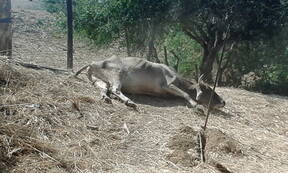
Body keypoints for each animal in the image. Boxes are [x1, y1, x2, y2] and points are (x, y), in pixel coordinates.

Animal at [73, 55, 225, 109]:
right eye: (209, 90)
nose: (223, 102)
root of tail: (93, 63)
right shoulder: (168, 84)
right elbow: (185, 94)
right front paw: (195, 104)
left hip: (100, 81)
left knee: (104, 89)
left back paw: (106, 98)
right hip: (117, 74)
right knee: (115, 89)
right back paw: (129, 102)